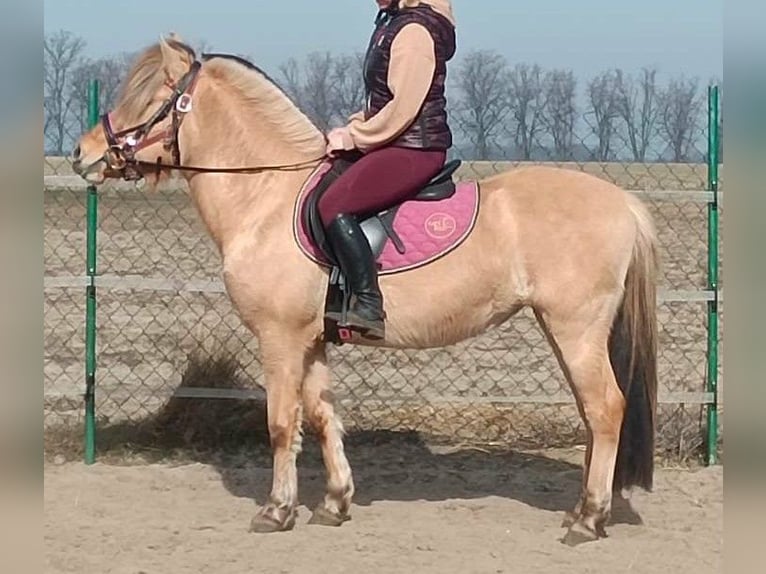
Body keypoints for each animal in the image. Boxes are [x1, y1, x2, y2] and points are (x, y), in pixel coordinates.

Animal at [71, 34, 659, 546]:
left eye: (149, 98)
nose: (83, 153)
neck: (267, 195)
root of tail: (623, 202)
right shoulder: (310, 340)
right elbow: (321, 416)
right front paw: (334, 503)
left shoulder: (279, 338)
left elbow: (281, 423)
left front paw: (276, 510)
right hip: (563, 329)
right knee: (591, 413)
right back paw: (581, 511)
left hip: (576, 328)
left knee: (605, 408)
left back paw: (589, 520)